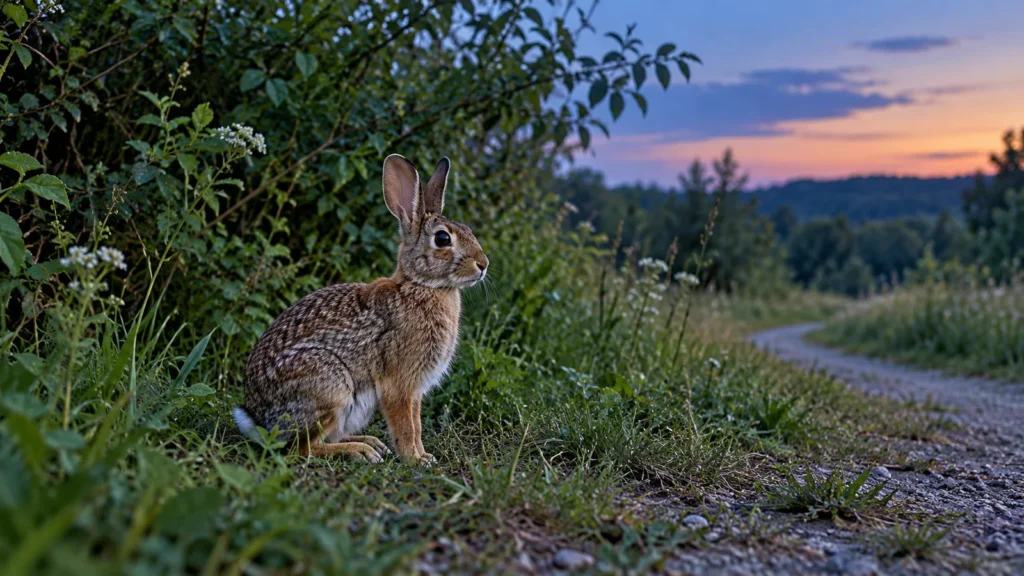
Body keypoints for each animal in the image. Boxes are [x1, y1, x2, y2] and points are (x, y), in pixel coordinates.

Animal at [232, 154, 488, 465]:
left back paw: (370, 443)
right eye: (442, 239)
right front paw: (415, 460)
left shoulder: (415, 390)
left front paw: (424, 456)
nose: (483, 264)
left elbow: (416, 424)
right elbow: (406, 426)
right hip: (331, 387)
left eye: (469, 231)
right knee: (301, 450)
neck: (422, 285)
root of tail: (259, 421)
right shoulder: (399, 384)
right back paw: (360, 451)